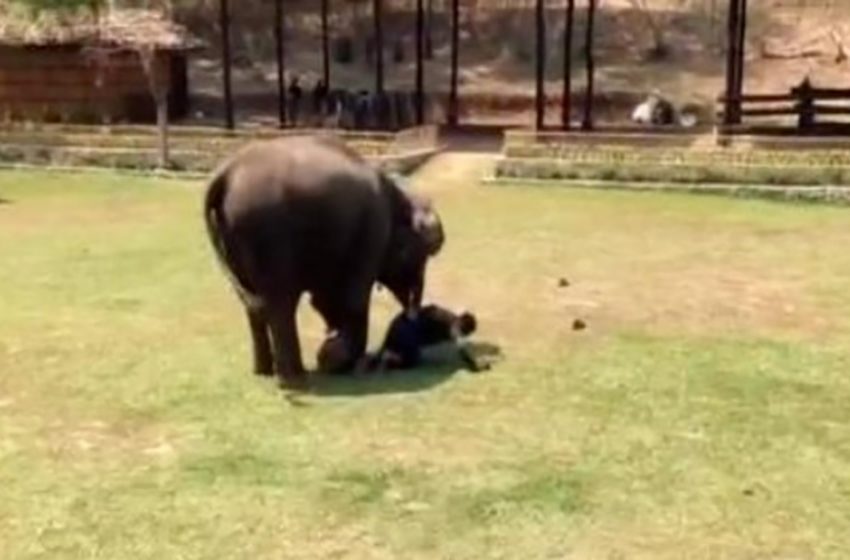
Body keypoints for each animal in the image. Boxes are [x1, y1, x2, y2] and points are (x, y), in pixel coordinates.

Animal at [204, 136, 444, 390]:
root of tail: (226, 172)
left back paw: (265, 372)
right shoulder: (373, 231)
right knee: (280, 304)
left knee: (253, 307)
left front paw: (333, 353)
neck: (400, 197)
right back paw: (295, 380)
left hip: (233, 236)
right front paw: (337, 359)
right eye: (422, 255)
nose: (412, 315)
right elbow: (353, 297)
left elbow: (323, 299)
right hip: (266, 234)